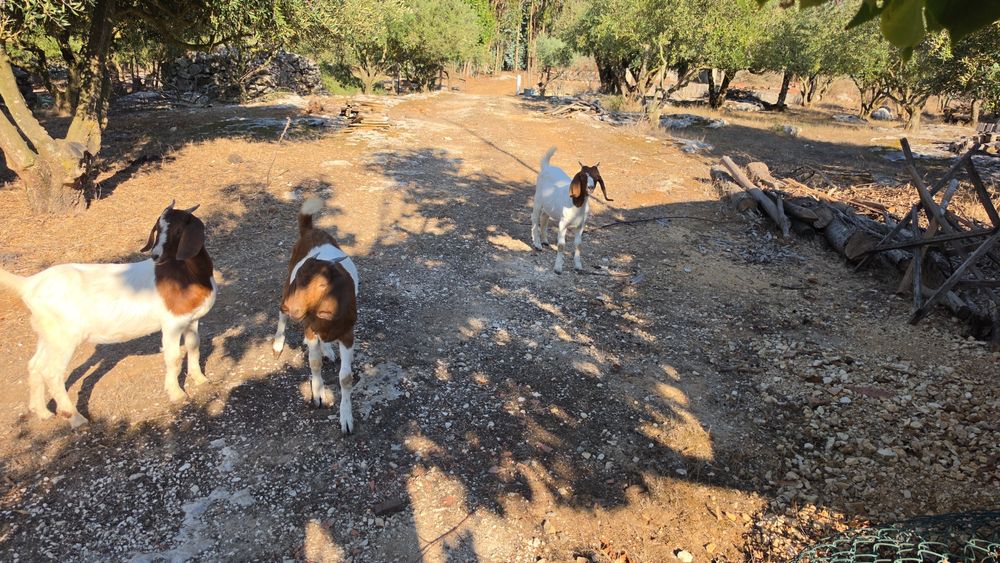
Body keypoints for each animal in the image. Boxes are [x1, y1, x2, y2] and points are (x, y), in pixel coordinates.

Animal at [0, 202, 216, 428]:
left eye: (178, 230)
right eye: (158, 228)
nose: (156, 256)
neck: (188, 275)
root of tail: (29, 284)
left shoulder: (192, 319)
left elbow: (194, 346)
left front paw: (201, 379)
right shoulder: (172, 323)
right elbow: (173, 357)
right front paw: (177, 394)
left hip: (48, 334)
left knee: (35, 365)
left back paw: (42, 412)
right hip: (64, 338)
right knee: (52, 373)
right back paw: (75, 417)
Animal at [272, 197, 359, 434]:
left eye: (321, 284)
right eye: (299, 278)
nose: (292, 309)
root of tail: (310, 229)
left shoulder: (348, 333)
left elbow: (345, 378)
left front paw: (346, 419)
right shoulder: (309, 326)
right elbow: (314, 362)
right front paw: (318, 394)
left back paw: (328, 349)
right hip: (287, 282)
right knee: (281, 313)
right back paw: (278, 343)